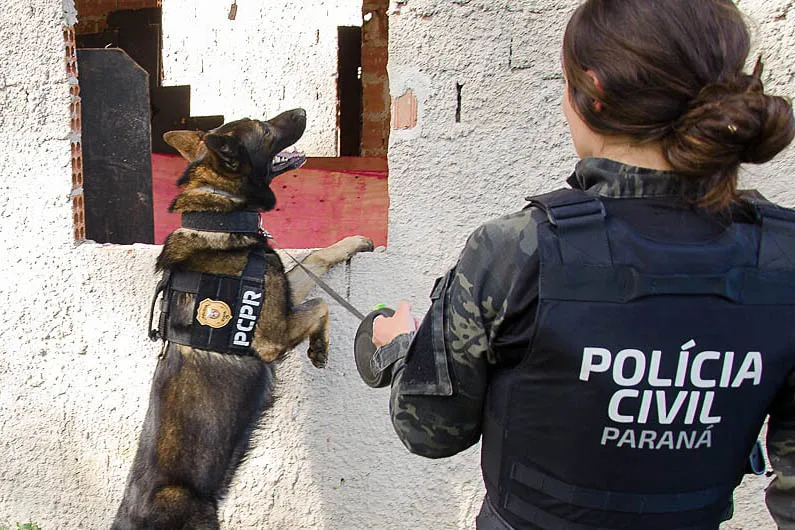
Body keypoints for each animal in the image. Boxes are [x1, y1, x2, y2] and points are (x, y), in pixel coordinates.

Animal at [112, 108, 376, 528]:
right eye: (264, 128)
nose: (303, 111)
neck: (221, 214)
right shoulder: (271, 336)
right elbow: (321, 304)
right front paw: (319, 346)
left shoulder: (283, 295)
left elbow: (316, 257)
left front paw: (352, 242)